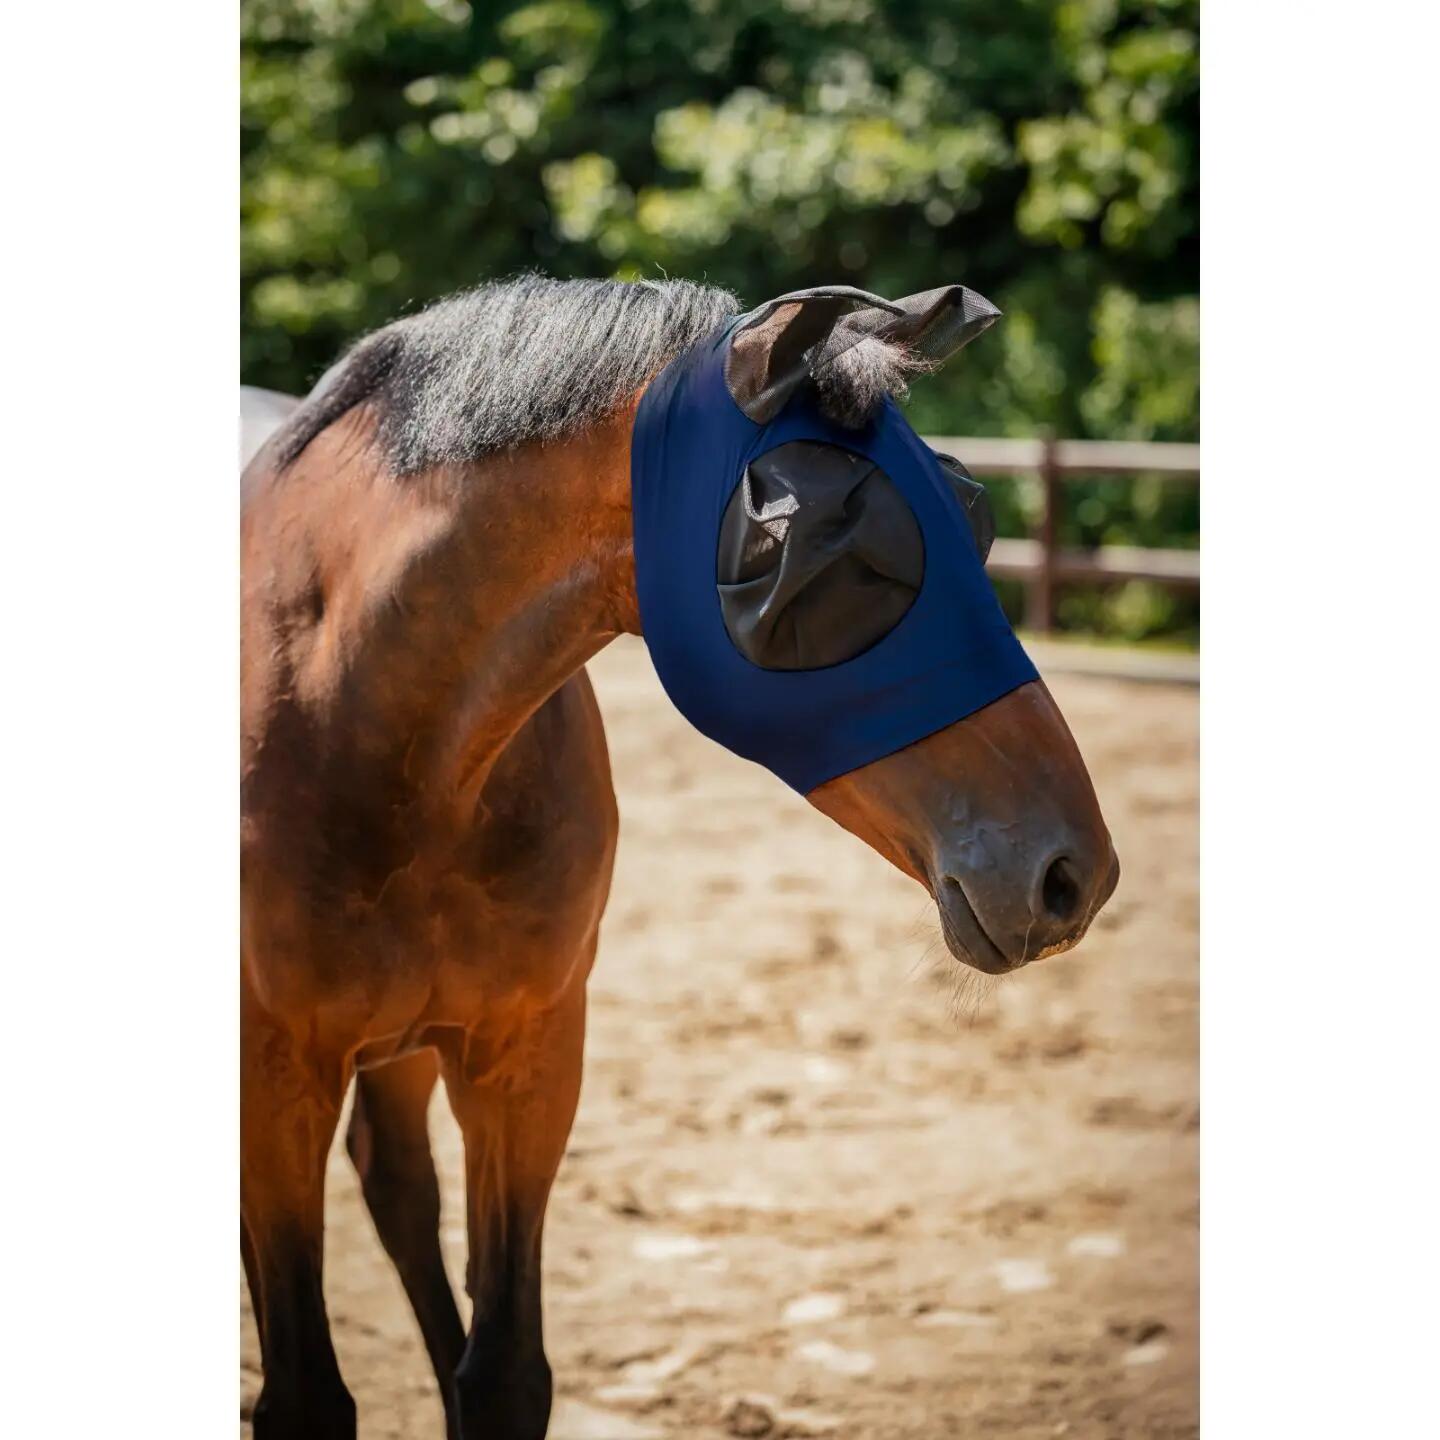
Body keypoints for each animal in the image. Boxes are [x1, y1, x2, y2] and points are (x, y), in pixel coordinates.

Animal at [240, 275, 1118, 1440]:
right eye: (820, 549)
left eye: (970, 514)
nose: (1074, 875)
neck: (366, 718)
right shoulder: (273, 1077)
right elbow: (303, 1395)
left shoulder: (526, 1054)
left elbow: (502, 1370)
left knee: (397, 1188)